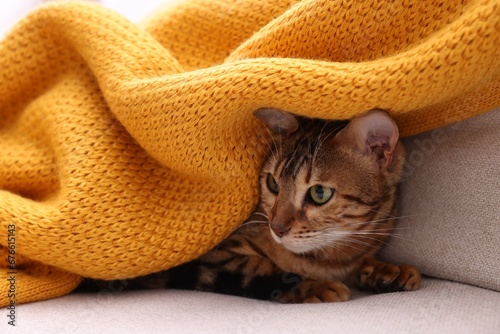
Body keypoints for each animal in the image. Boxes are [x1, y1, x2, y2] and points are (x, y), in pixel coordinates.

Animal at [79, 109, 422, 302]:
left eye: (319, 193)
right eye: (273, 184)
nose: (277, 228)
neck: (331, 258)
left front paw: (385, 269)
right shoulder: (217, 256)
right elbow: (264, 269)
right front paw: (311, 287)